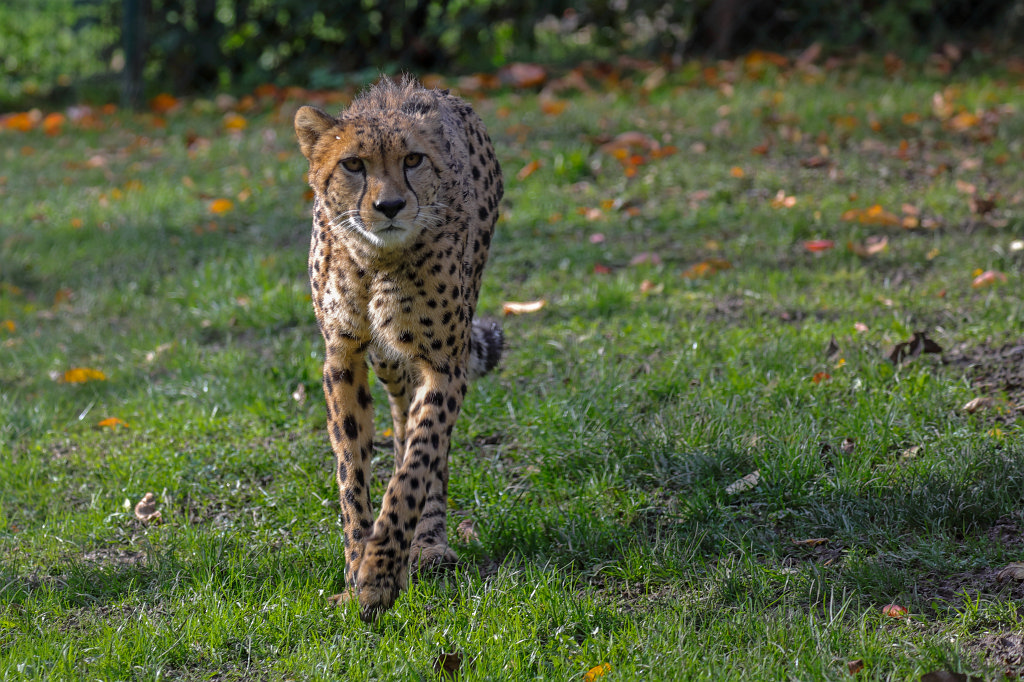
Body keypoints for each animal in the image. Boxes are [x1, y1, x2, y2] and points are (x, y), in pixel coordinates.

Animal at [294, 77, 504, 620]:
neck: (376, 261)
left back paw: (429, 543)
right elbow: (352, 472)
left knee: (428, 445)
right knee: (400, 410)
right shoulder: (343, 356)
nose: (390, 207)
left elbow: (416, 464)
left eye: (413, 159)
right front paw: (355, 572)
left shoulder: (446, 363)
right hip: (386, 358)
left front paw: (380, 575)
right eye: (353, 164)